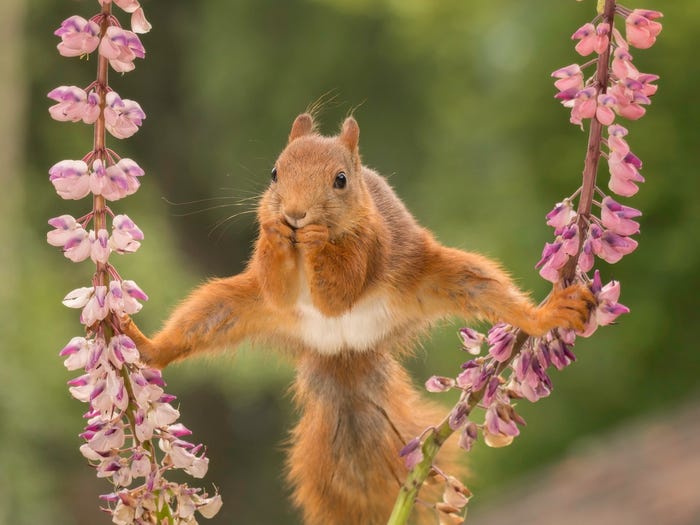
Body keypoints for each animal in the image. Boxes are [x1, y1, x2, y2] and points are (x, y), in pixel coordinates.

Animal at [123, 112, 592, 520]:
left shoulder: (373, 244)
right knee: (200, 321)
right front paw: (275, 232)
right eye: (274, 173)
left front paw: (315, 238)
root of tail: (344, 350)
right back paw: (146, 347)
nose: (295, 215)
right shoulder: (272, 288)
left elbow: (340, 291)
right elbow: (277, 286)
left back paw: (546, 314)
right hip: (230, 306)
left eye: (341, 180)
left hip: (442, 277)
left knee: (487, 289)